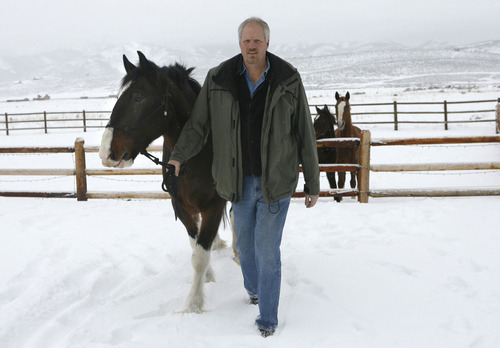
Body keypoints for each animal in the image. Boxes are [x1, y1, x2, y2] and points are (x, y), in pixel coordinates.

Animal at [99, 51, 227, 312]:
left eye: (138, 97)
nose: (105, 153)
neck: (193, 157)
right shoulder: (181, 207)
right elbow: (196, 246)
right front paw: (207, 278)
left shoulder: (214, 205)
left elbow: (199, 256)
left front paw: (193, 304)